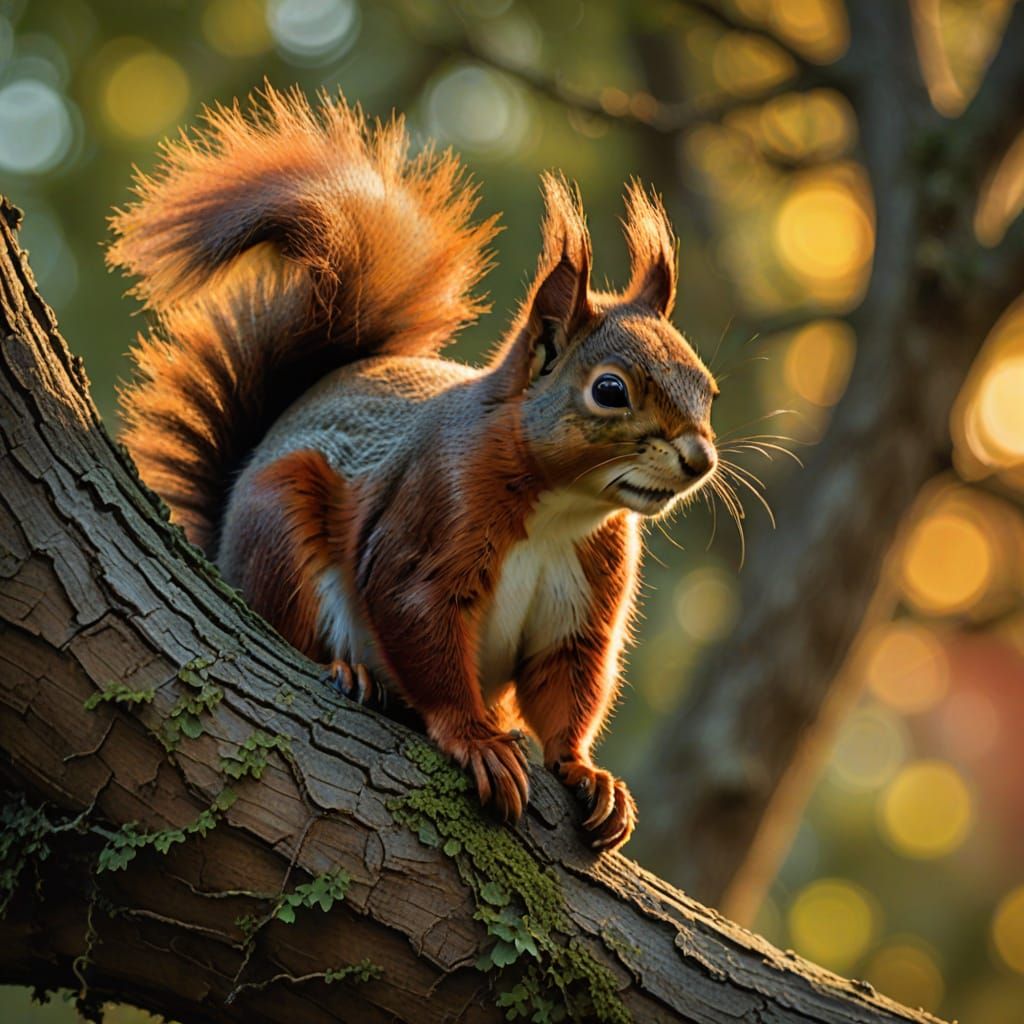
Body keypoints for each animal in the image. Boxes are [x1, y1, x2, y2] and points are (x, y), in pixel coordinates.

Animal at [108, 84, 719, 851]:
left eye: (708, 386)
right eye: (610, 390)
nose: (700, 459)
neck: (562, 508)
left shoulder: (586, 593)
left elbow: (568, 680)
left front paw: (585, 771)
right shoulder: (433, 514)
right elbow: (418, 624)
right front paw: (476, 740)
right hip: (279, 523)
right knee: (290, 626)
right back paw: (347, 671)